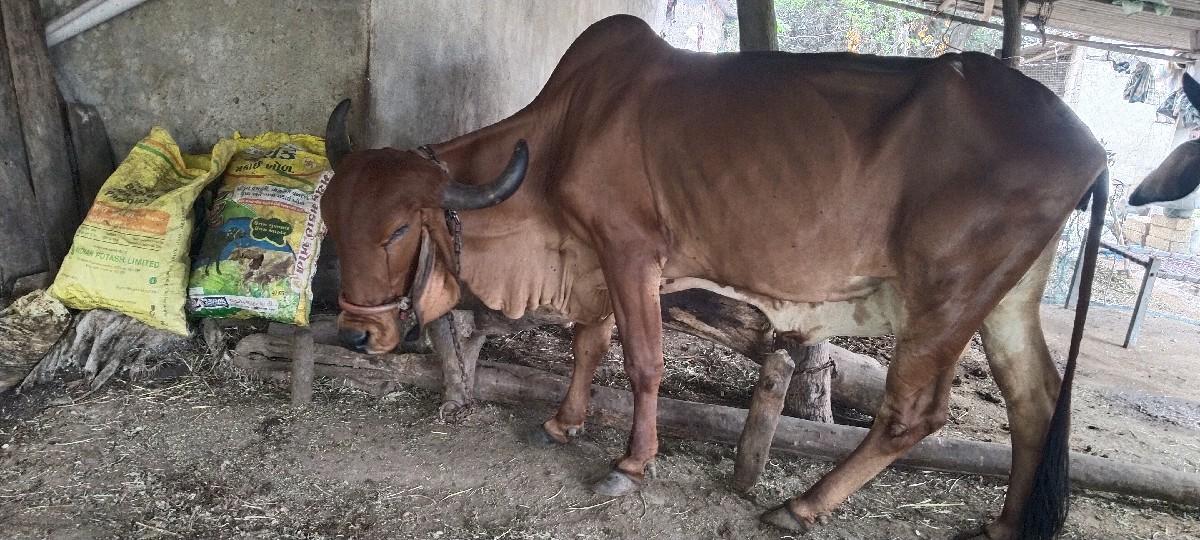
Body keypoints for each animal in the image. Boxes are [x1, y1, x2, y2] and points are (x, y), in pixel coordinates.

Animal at [320, 15, 1109, 540]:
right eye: (329, 216)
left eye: (397, 230)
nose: (356, 334)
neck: (563, 133)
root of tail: (1089, 144)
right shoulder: (594, 256)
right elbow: (588, 342)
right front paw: (565, 422)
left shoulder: (630, 250)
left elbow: (642, 362)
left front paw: (630, 464)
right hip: (1006, 298)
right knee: (1034, 401)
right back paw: (1004, 524)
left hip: (947, 294)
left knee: (913, 413)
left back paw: (802, 505)